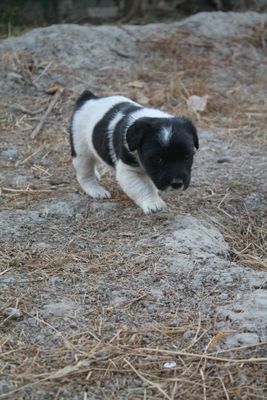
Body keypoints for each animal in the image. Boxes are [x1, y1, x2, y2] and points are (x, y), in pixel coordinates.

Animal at [70, 90, 199, 214]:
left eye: (187, 156)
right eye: (158, 159)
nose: (177, 184)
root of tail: (89, 98)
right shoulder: (129, 172)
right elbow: (142, 188)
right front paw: (153, 203)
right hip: (81, 152)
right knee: (85, 174)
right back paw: (95, 189)